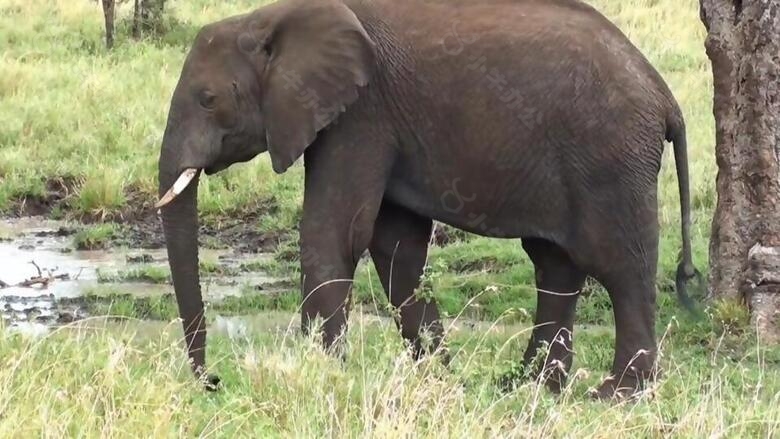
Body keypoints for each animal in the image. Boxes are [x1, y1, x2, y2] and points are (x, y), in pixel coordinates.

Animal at [155, 0, 696, 400]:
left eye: (207, 100)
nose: (213, 382)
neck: (268, 16)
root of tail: (666, 98)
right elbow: (395, 246)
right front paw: (441, 378)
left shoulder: (361, 113)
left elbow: (335, 233)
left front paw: (322, 375)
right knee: (556, 266)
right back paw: (526, 387)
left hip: (611, 159)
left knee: (620, 266)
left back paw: (617, 394)